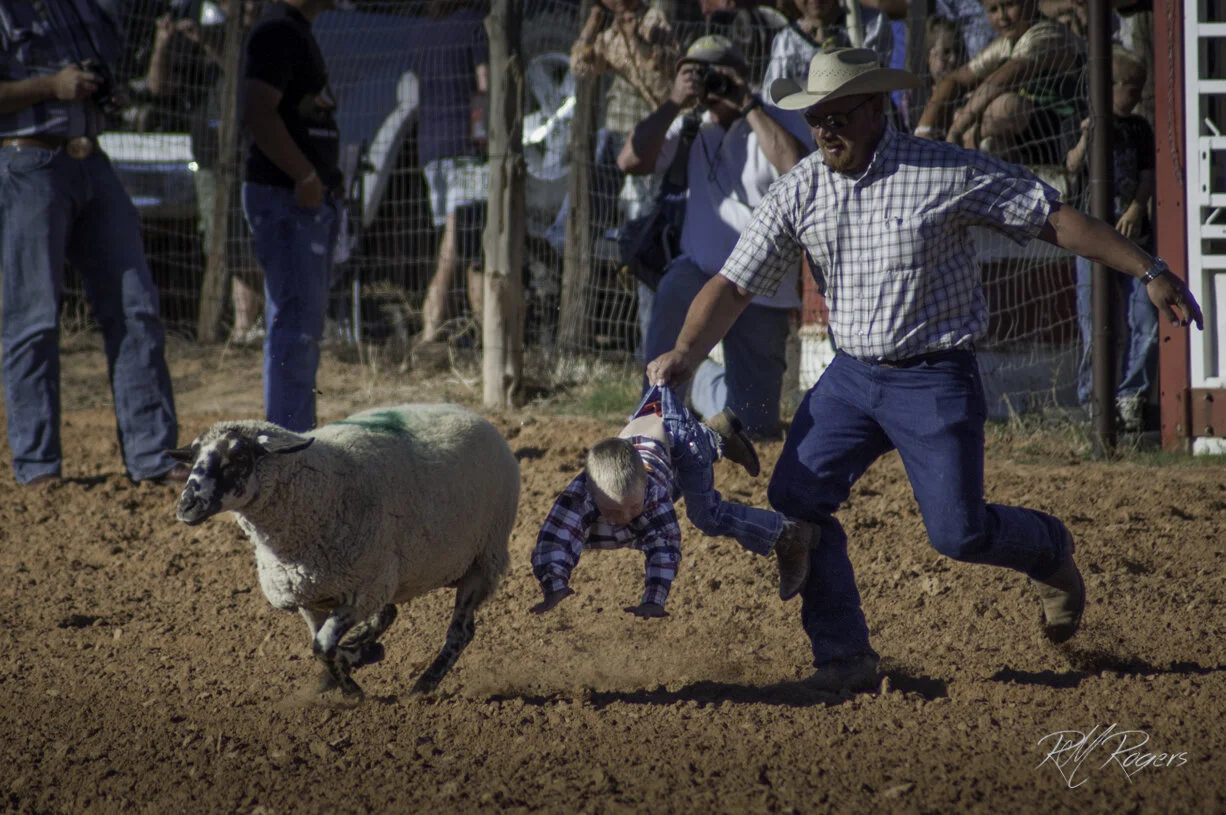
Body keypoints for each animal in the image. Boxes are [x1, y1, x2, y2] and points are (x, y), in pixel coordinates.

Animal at [169, 403, 519, 698]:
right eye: (194, 458)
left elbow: (322, 646)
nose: (186, 506)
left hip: (482, 561)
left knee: (461, 632)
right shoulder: (310, 596)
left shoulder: (361, 592)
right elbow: (320, 645)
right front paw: (352, 671)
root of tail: (472, 413)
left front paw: (356, 676)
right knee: (391, 613)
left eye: (238, 458)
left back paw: (423, 685)